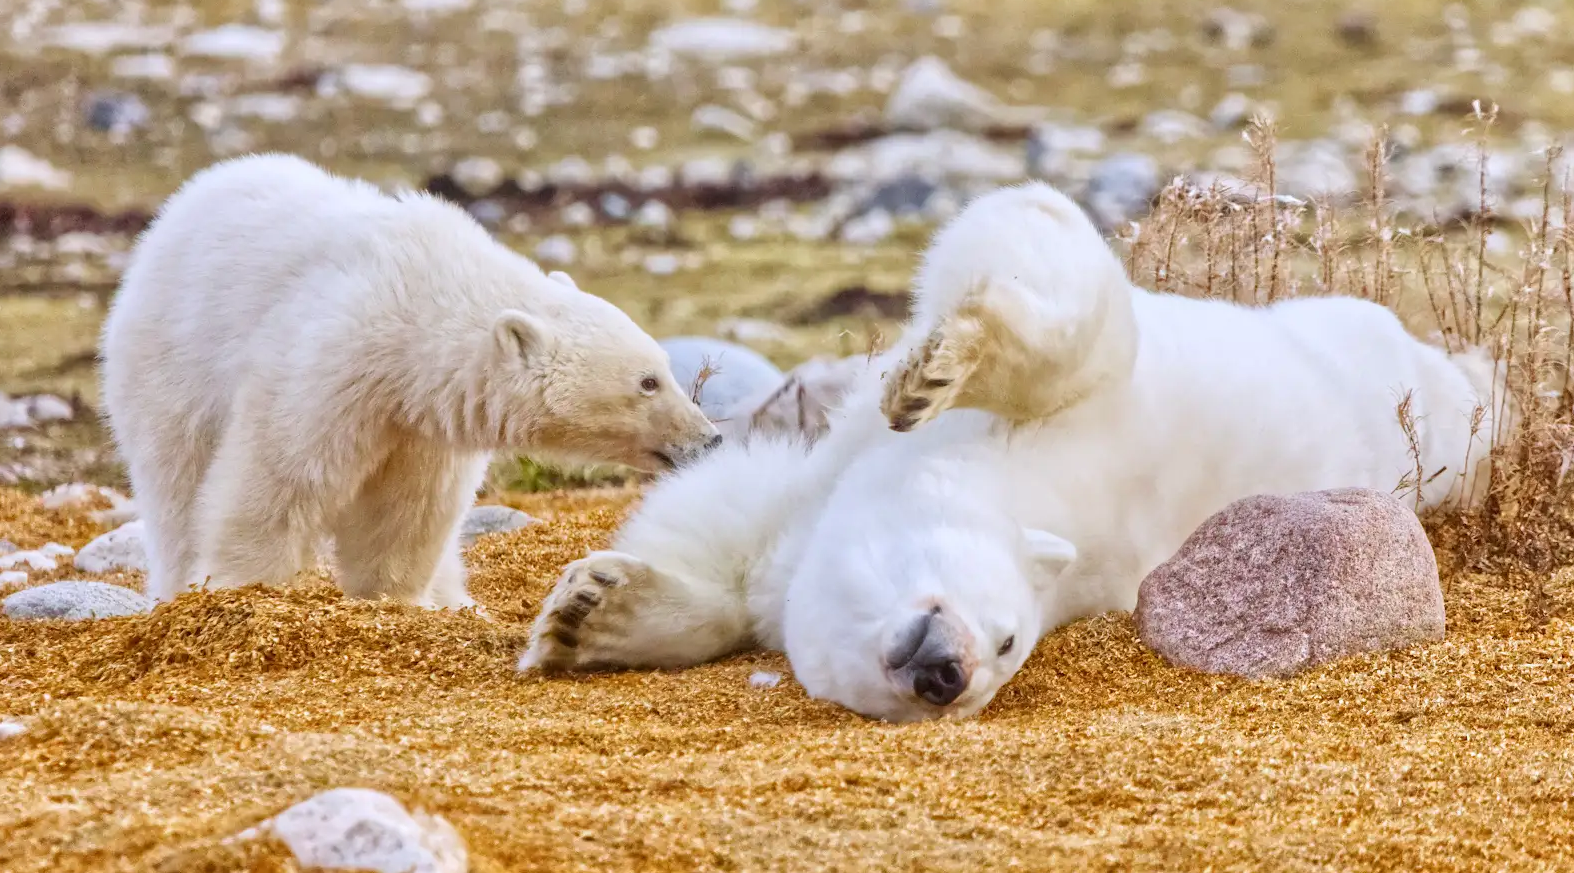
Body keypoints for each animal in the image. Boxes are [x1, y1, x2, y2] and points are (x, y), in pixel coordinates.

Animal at [101, 153, 720, 609]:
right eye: (648, 382)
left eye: (666, 370)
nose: (708, 437)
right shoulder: (331, 357)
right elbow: (281, 474)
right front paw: (241, 589)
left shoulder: (423, 417)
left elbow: (406, 511)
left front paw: (394, 601)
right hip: (169, 363)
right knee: (176, 482)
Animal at [517, 181, 1506, 723]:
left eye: (1007, 645)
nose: (946, 673)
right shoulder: (1086, 422)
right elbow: (1067, 284)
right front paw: (937, 366)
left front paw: (589, 614)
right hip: (1343, 325)